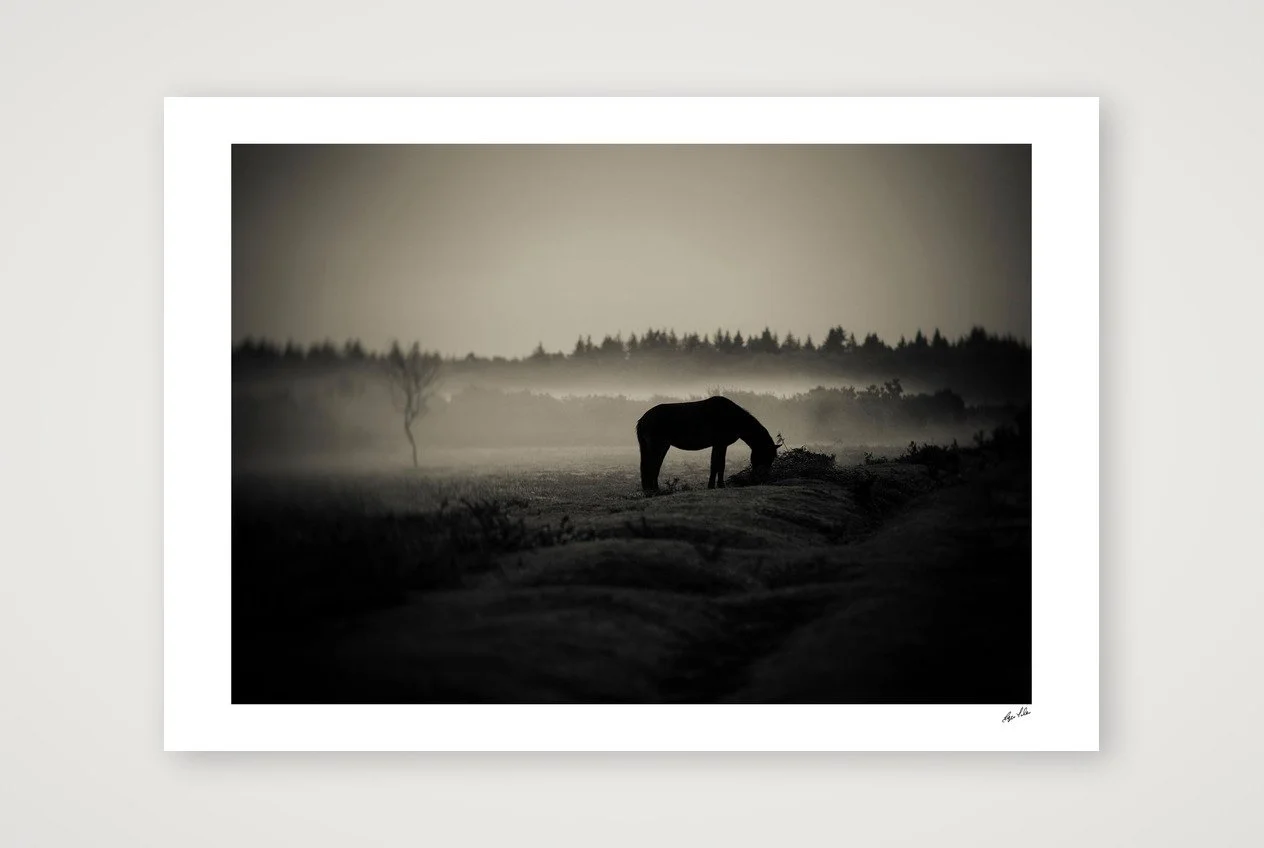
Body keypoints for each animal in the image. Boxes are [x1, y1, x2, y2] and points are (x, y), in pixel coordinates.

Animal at [636, 396, 781, 493]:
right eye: (767, 456)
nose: (762, 478)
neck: (733, 417)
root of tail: (642, 419)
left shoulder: (720, 445)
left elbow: (717, 465)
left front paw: (716, 485)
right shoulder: (719, 444)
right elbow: (717, 464)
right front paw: (716, 486)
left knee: (650, 467)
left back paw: (650, 491)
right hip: (659, 446)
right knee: (652, 466)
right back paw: (655, 490)